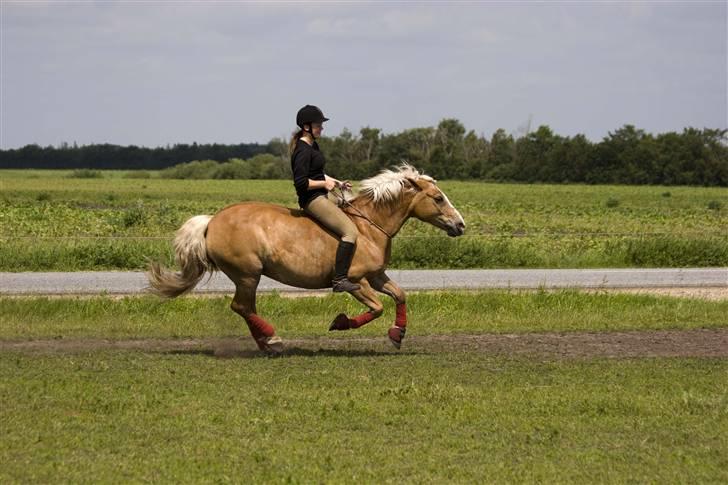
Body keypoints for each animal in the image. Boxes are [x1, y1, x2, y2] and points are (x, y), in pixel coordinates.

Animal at [147, 161, 466, 354]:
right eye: (438, 198)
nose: (460, 225)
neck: (368, 227)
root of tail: (212, 221)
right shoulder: (357, 280)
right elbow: (376, 308)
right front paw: (340, 323)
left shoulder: (376, 276)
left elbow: (400, 295)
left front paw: (398, 333)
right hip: (247, 274)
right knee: (241, 306)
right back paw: (273, 339)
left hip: (248, 276)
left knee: (245, 307)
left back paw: (267, 344)